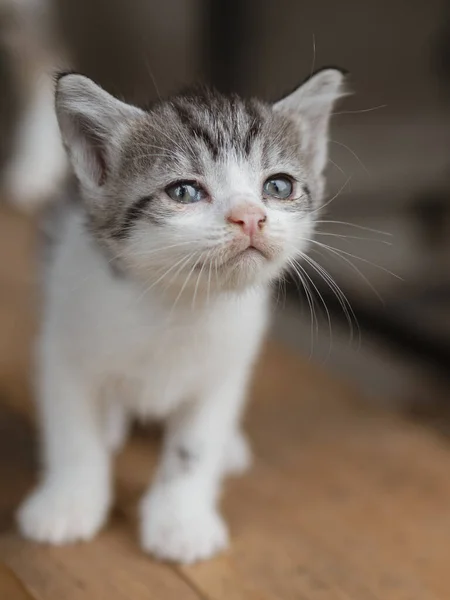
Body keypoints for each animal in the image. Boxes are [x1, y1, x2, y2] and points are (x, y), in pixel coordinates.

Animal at [16, 68, 344, 564]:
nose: (250, 216)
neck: (179, 303)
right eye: (184, 191)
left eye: (278, 187)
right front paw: (68, 504)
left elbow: (195, 446)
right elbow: (74, 433)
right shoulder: (64, 345)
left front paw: (181, 521)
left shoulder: (226, 365)